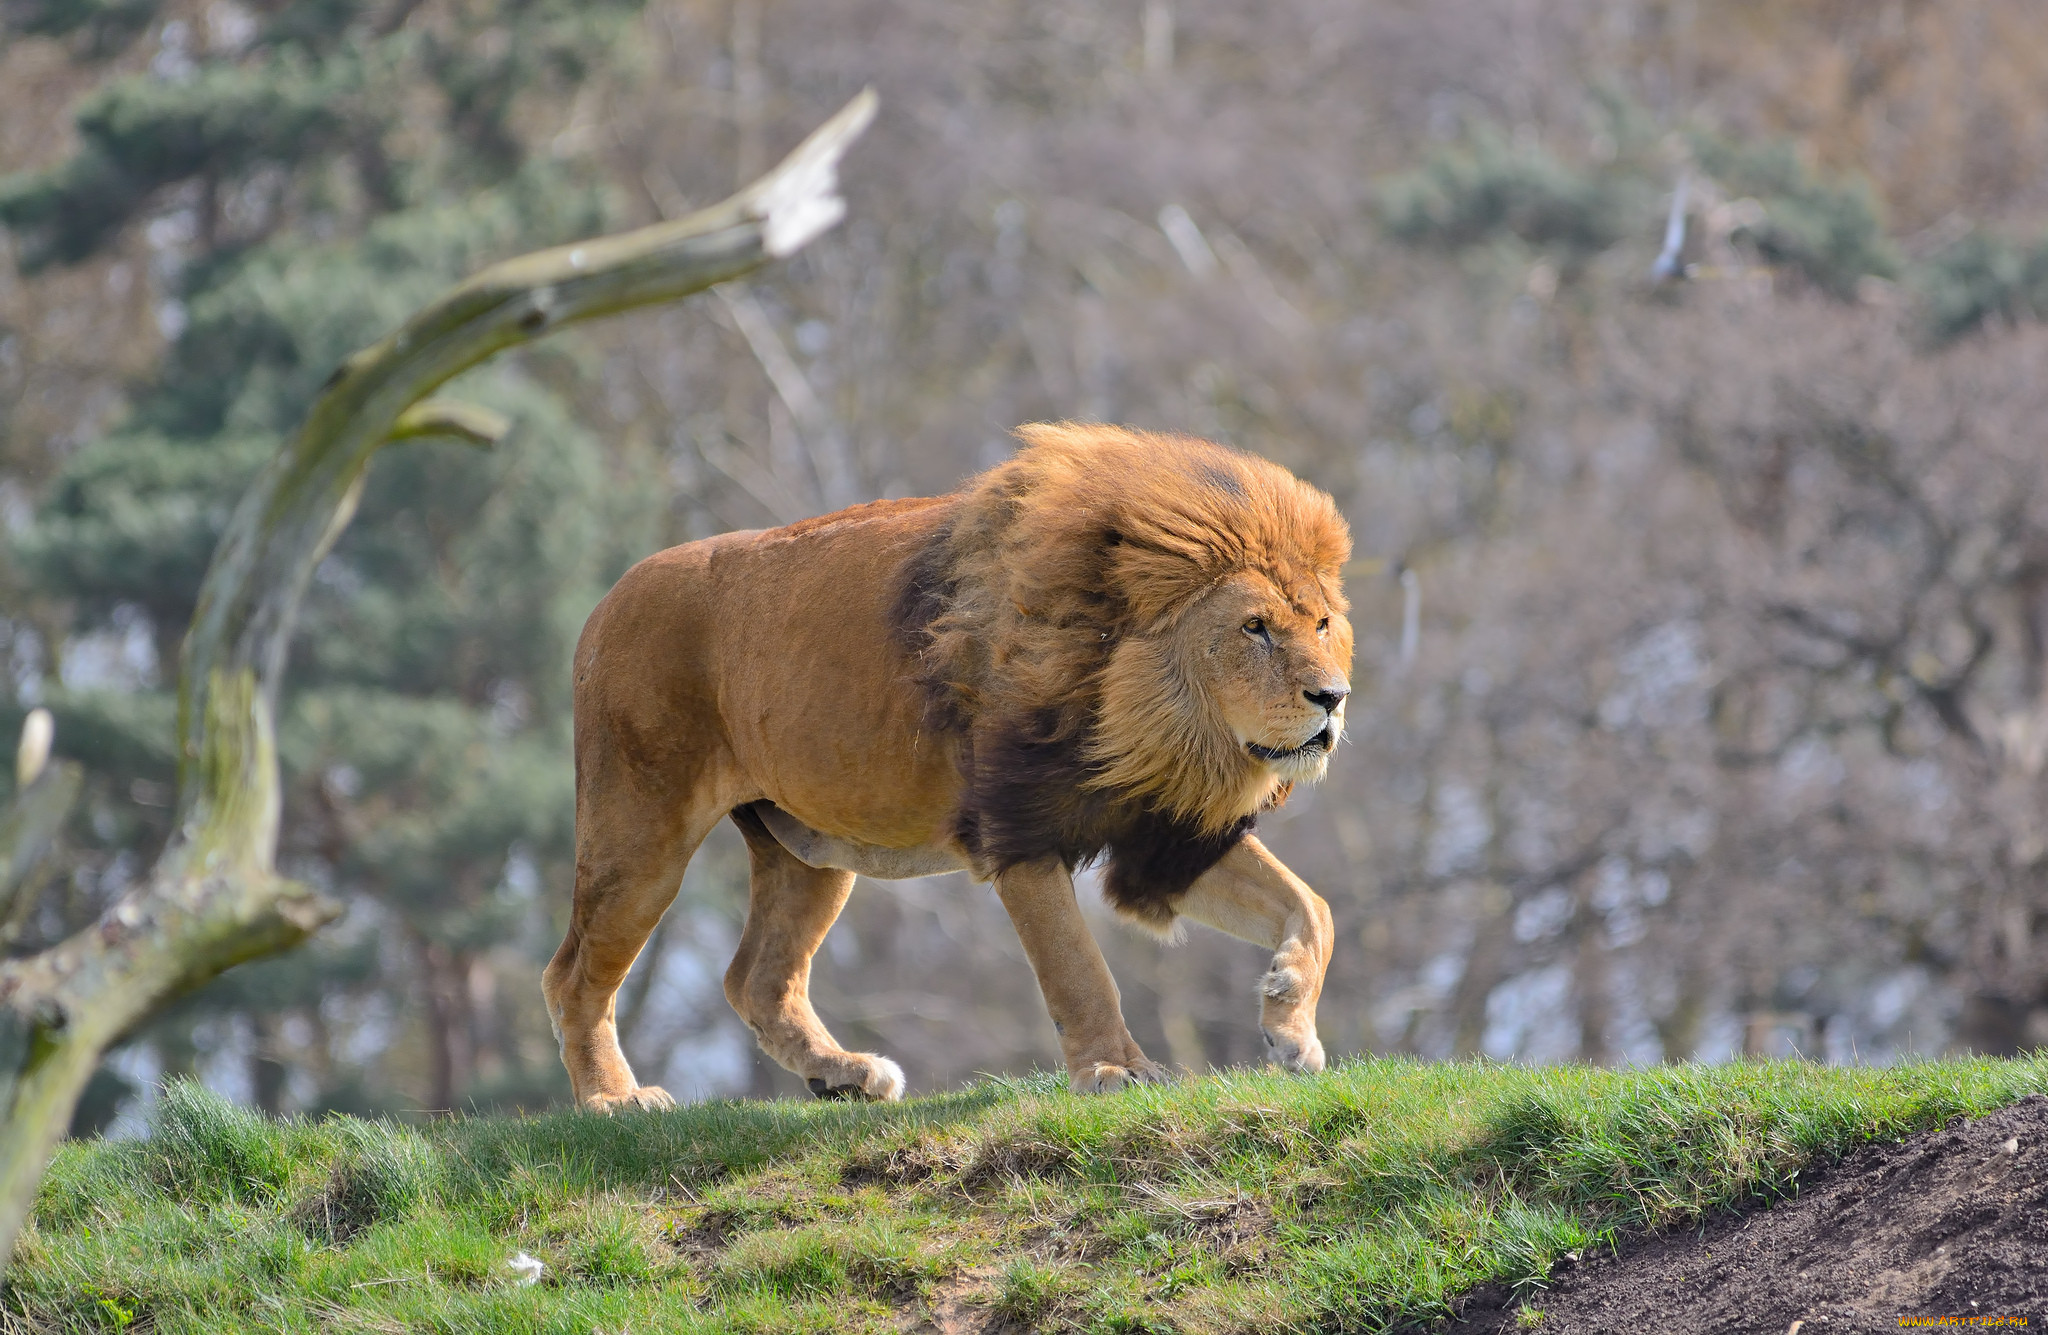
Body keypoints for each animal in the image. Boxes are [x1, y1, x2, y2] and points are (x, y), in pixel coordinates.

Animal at [540, 425, 1359, 1105]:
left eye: (1321, 623)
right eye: (1253, 627)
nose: (1333, 697)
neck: (1155, 726)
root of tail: (606, 601)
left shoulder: (1168, 832)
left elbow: (1314, 907)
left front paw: (1289, 1024)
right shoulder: (1020, 827)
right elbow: (1079, 968)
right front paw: (1114, 1070)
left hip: (806, 847)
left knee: (758, 979)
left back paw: (844, 1075)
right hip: (641, 834)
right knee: (573, 973)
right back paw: (614, 1098)